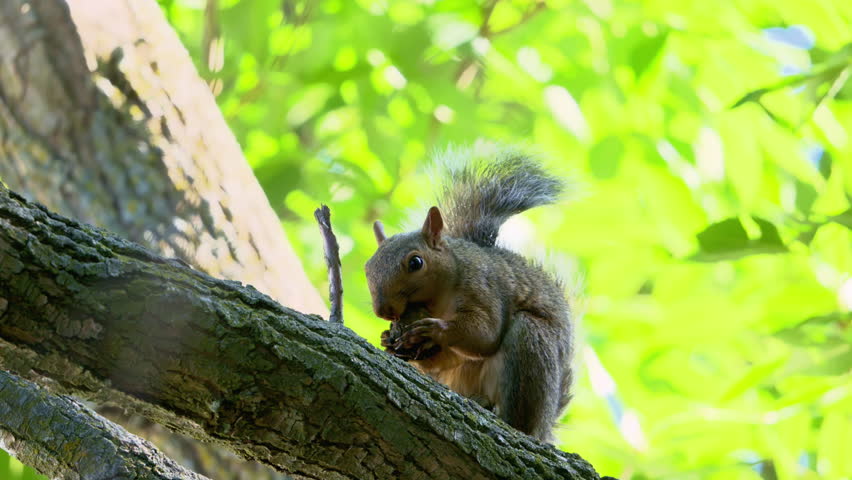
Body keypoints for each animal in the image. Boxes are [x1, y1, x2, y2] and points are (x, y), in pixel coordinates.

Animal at [365, 145, 574, 442]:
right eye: (368, 268)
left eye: (415, 262)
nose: (384, 311)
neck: (438, 299)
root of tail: (545, 426)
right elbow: (446, 359)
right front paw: (388, 339)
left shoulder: (484, 288)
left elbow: (486, 334)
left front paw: (436, 329)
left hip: (530, 344)